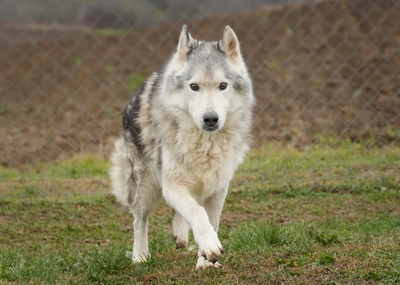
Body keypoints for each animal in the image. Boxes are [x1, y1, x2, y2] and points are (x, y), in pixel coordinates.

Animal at [109, 25, 253, 268]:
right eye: (194, 86)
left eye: (223, 86)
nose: (210, 119)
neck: (204, 145)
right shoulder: (172, 185)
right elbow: (197, 211)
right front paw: (209, 246)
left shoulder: (218, 187)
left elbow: (210, 219)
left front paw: (204, 262)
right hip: (145, 187)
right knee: (140, 220)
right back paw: (140, 256)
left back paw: (179, 234)